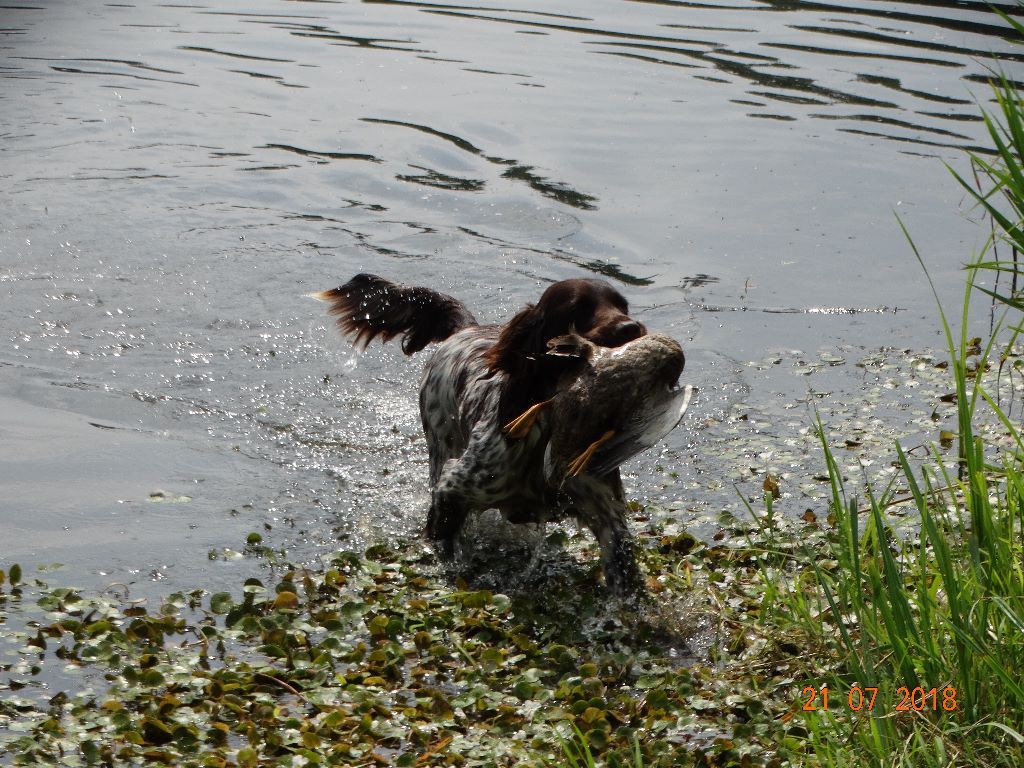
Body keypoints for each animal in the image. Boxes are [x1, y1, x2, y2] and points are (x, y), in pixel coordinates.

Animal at [317, 274, 655, 598]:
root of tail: (466, 328)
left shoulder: (607, 514)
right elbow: (444, 544)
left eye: (623, 305)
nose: (630, 328)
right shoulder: (451, 491)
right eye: (578, 308)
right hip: (440, 448)